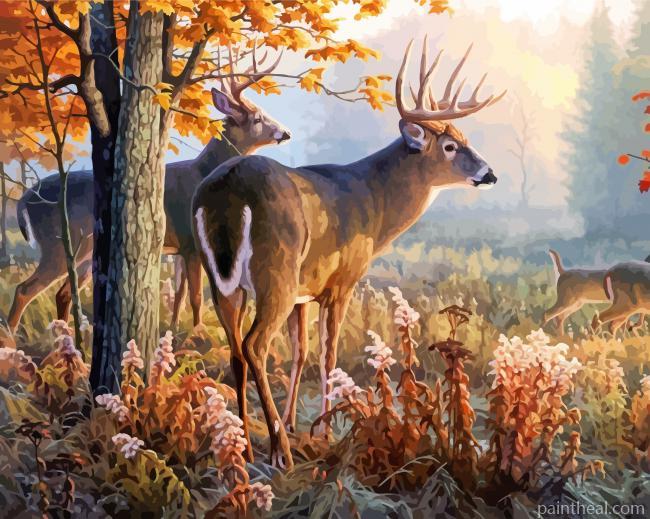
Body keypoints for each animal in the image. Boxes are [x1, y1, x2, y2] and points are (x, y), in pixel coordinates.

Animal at [6, 53, 290, 336]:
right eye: (257, 118)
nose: (285, 132)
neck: (204, 172)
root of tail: (24, 201)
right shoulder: (191, 241)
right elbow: (196, 295)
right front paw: (198, 332)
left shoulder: (178, 249)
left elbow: (180, 295)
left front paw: (175, 330)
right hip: (58, 243)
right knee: (25, 289)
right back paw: (12, 337)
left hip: (84, 251)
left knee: (63, 292)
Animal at [191, 37, 505, 469]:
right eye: (450, 145)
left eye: (465, 136)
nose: (490, 174)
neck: (373, 204)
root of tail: (225, 190)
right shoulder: (342, 281)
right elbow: (328, 354)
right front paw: (323, 432)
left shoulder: (305, 291)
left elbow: (301, 352)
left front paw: (296, 424)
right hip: (276, 270)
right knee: (255, 345)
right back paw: (279, 451)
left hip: (224, 280)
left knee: (237, 350)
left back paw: (244, 444)